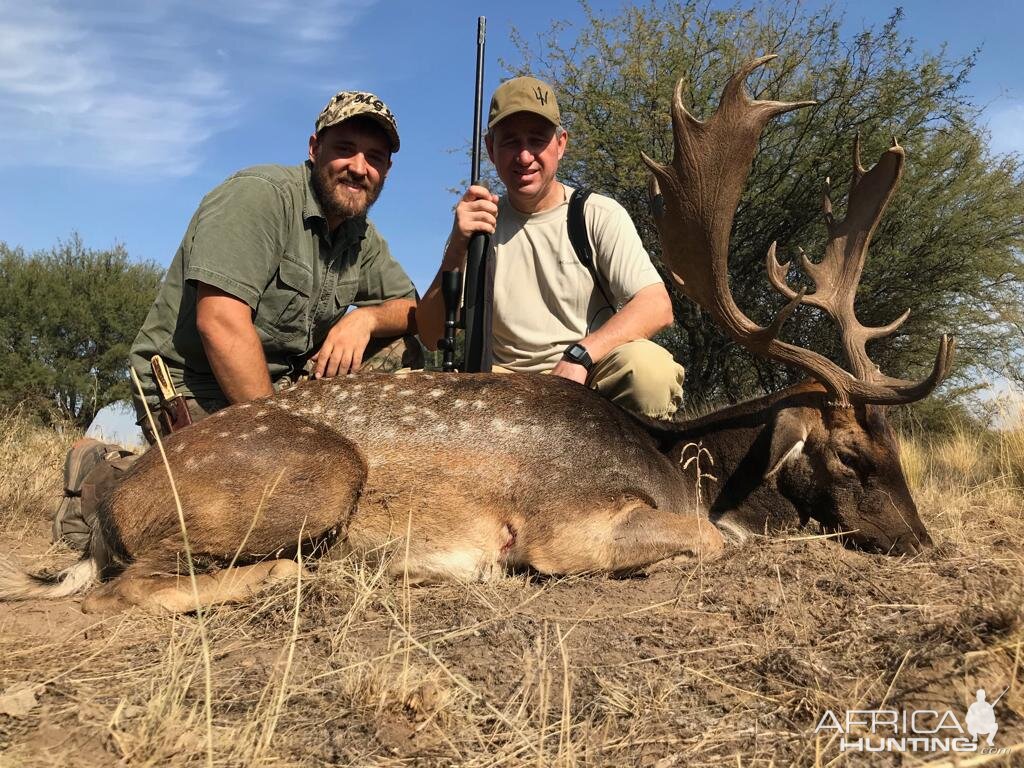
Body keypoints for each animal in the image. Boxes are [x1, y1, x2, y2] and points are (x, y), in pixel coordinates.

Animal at [0, 54, 950, 618]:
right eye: (852, 455)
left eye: (900, 447)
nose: (924, 544)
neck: (686, 470)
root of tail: (114, 507)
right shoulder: (568, 526)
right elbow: (705, 545)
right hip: (315, 475)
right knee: (122, 593)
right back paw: (323, 572)